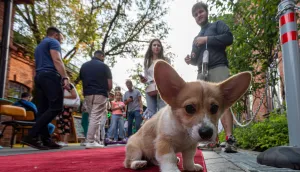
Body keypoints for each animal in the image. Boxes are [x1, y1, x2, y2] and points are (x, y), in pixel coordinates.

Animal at [123, 59, 252, 171]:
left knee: (154, 159)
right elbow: (168, 159)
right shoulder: (164, 143)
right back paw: (138, 163)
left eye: (215, 108)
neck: (183, 131)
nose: (206, 133)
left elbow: (189, 159)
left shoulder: (190, 147)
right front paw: (173, 170)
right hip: (135, 150)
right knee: (128, 163)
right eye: (189, 108)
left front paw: (191, 167)